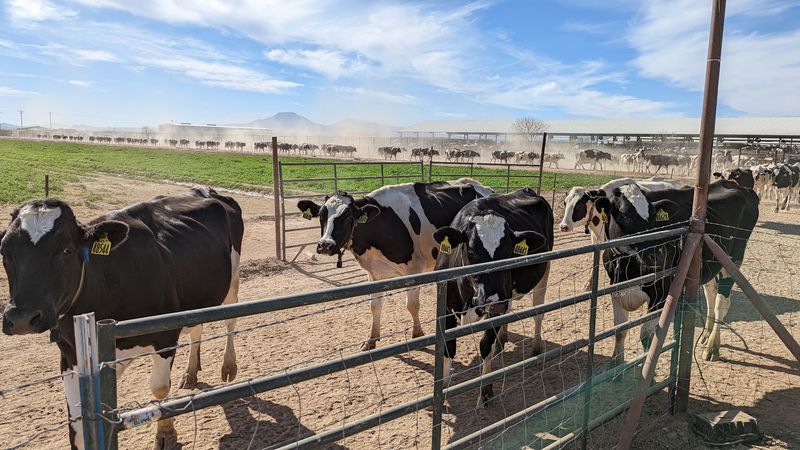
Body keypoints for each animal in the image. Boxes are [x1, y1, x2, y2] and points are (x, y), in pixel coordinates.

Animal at [0, 189, 244, 450]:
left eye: (66, 250)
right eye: (4, 252)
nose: (22, 318)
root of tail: (206, 190)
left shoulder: (165, 336)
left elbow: (160, 388)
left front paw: (166, 434)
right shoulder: (70, 353)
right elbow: (78, 414)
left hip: (233, 280)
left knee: (230, 320)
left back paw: (228, 366)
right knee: (197, 326)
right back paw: (190, 374)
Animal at [296, 179, 493, 351]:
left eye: (347, 216)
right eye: (322, 215)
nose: (325, 245)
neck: (380, 225)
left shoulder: (413, 270)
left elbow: (412, 305)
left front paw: (418, 335)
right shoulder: (373, 273)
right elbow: (375, 306)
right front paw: (371, 340)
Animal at [433, 187, 552, 406]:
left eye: (509, 253)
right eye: (472, 252)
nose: (495, 302)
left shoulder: (496, 307)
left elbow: (485, 346)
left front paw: (486, 390)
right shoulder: (445, 308)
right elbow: (448, 348)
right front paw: (443, 391)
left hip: (543, 271)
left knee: (538, 311)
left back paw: (536, 348)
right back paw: (502, 339)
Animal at [593, 180, 759, 363]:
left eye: (653, 216)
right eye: (623, 215)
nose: (658, 254)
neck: (627, 268)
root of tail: (735, 184)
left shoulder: (661, 293)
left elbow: (647, 337)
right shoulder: (616, 288)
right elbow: (619, 332)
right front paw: (616, 364)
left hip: (733, 259)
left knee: (721, 304)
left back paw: (712, 347)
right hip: (710, 263)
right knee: (711, 294)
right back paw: (706, 334)